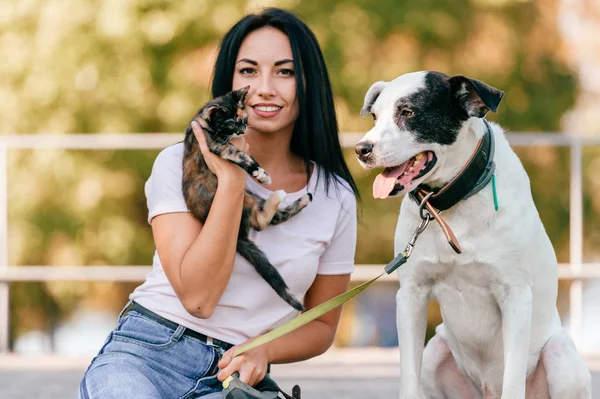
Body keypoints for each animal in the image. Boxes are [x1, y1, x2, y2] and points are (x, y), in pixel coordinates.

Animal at [180, 86, 312, 312]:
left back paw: (304, 198)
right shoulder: (218, 146)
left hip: (251, 197)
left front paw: (262, 174)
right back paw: (281, 195)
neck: (204, 122)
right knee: (261, 222)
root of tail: (239, 236)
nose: (242, 130)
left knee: (270, 218)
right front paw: (260, 173)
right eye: (231, 123)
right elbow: (243, 156)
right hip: (245, 201)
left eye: (244, 119)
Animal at [356, 72, 592, 399]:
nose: (361, 149)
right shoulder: (411, 295)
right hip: (436, 350)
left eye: (408, 112)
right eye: (375, 116)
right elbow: (408, 380)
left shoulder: (515, 296)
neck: (450, 204)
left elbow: (513, 382)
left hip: (560, 354)